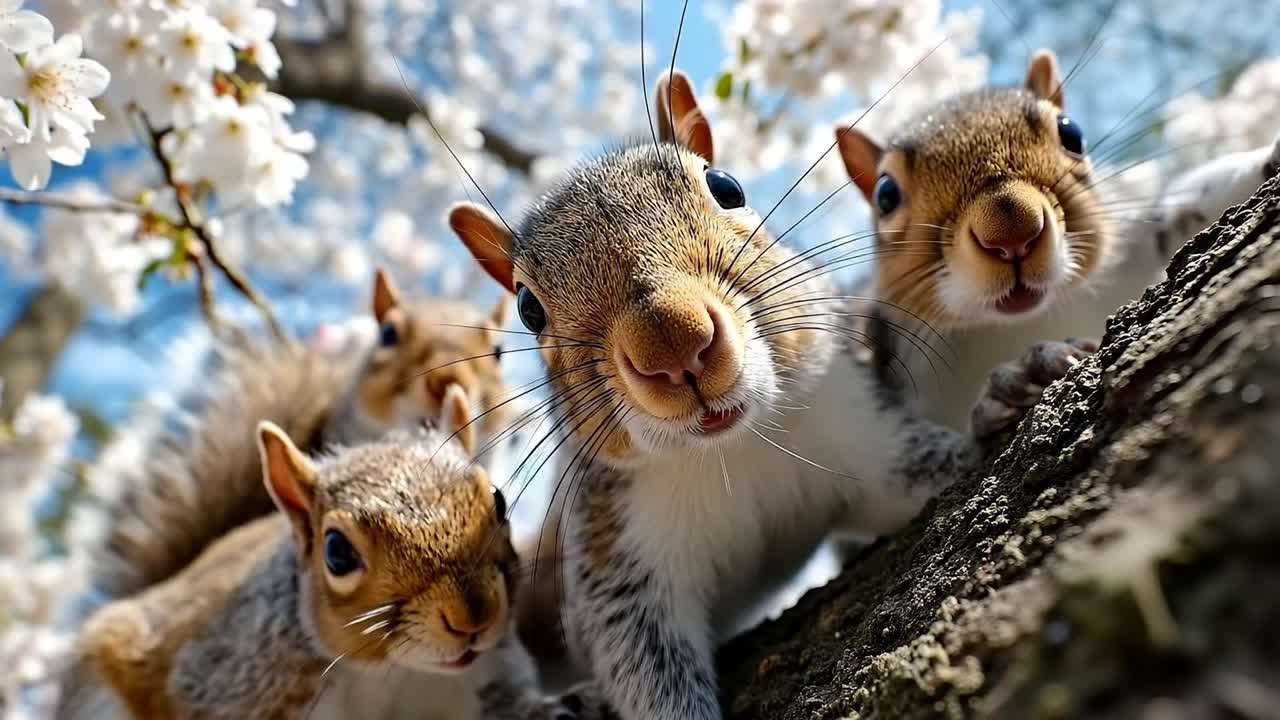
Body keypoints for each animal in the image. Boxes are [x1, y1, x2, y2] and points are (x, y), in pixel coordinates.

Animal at [63, 397, 604, 720]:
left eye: (498, 499)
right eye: (337, 553)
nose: (473, 617)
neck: (396, 673)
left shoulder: (489, 678)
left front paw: (557, 708)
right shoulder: (238, 683)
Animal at [445, 69, 1055, 720]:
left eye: (726, 187)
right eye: (527, 308)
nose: (673, 344)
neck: (737, 450)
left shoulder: (869, 435)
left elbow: (944, 464)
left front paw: (1013, 389)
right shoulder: (618, 559)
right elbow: (643, 666)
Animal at [833, 48, 1280, 436]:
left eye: (1072, 133)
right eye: (885, 195)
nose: (1011, 231)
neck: (1025, 321)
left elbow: (1183, 205)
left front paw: (1267, 158)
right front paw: (1016, 378)